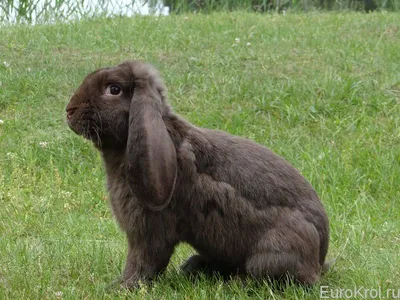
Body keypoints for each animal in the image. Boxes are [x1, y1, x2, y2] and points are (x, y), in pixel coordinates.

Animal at [65, 60, 328, 288]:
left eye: (114, 89)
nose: (69, 111)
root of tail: (320, 255)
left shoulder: (149, 233)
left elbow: (144, 262)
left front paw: (120, 287)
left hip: (274, 250)